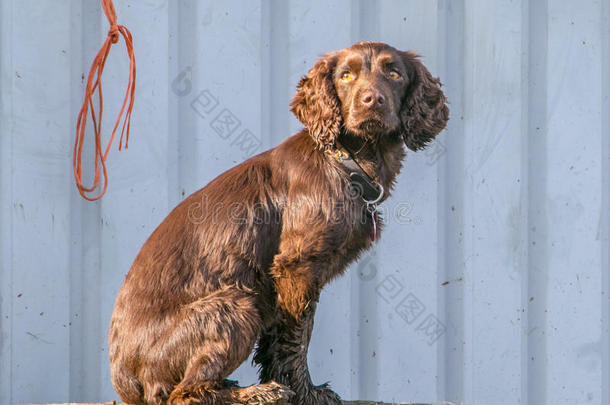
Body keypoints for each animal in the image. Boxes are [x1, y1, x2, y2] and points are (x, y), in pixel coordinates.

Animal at [109, 41, 448, 404]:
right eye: (346, 76)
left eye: (394, 74)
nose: (372, 100)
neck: (343, 163)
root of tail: (124, 379)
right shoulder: (296, 268)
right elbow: (296, 338)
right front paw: (304, 393)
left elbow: (277, 341)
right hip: (236, 305)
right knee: (186, 394)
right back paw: (258, 393)